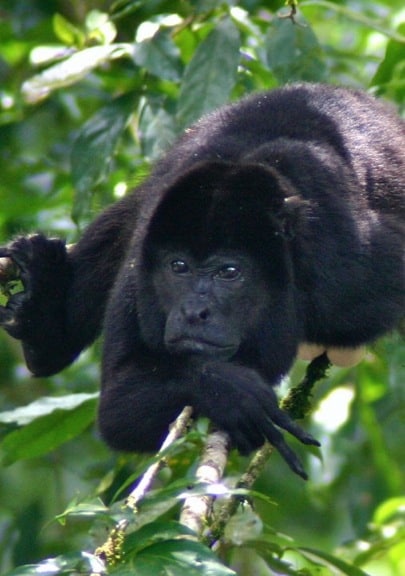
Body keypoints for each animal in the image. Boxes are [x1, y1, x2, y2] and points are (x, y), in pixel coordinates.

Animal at [0, 84, 402, 476]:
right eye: (179, 266)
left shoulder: (348, 269)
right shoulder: (139, 272)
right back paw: (43, 317)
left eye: (230, 272)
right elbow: (117, 405)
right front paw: (229, 391)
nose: (194, 312)